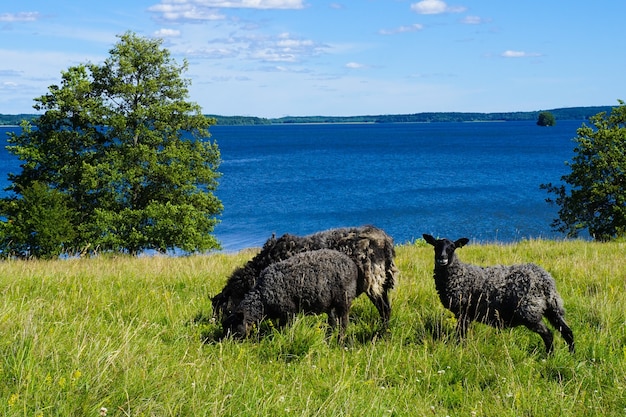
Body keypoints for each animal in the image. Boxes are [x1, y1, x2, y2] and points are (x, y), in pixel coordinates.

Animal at [212, 226, 398, 326]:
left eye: (227, 310)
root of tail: (385, 240)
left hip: (374, 282)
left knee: (384, 309)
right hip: (381, 283)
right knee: (386, 309)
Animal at [222, 249, 358, 340]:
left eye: (234, 329)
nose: (227, 345)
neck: (262, 298)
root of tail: (351, 263)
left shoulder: (288, 312)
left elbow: (285, 328)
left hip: (344, 299)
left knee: (344, 321)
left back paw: (340, 339)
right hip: (330, 303)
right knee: (333, 320)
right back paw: (329, 336)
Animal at [422, 232, 572, 352]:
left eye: (452, 247)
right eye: (435, 246)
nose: (442, 259)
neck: (459, 274)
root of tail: (545, 280)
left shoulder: (463, 311)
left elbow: (461, 334)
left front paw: (460, 349)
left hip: (530, 311)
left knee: (548, 335)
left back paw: (549, 356)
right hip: (552, 308)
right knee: (567, 331)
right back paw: (571, 354)